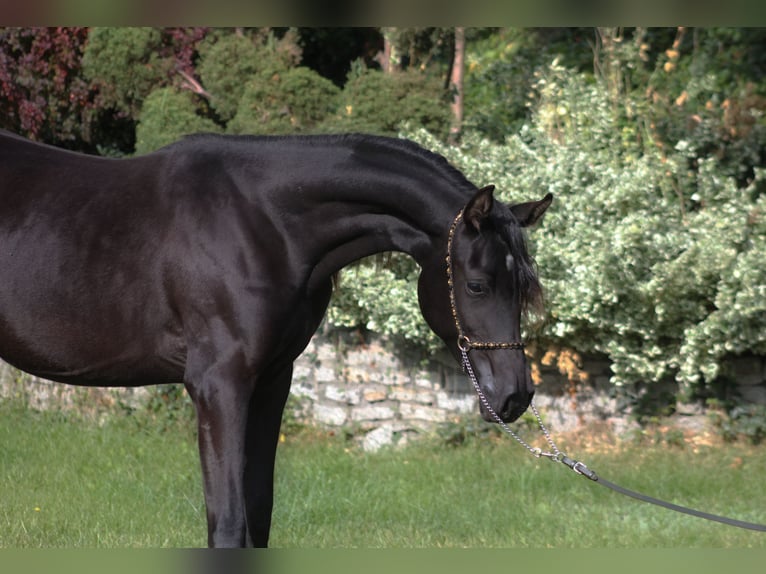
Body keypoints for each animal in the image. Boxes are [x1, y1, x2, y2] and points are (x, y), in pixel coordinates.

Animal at [0, 129, 552, 547]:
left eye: (525, 287)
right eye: (477, 285)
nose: (515, 395)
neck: (262, 222)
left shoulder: (271, 382)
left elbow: (258, 518)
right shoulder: (219, 386)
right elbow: (227, 525)